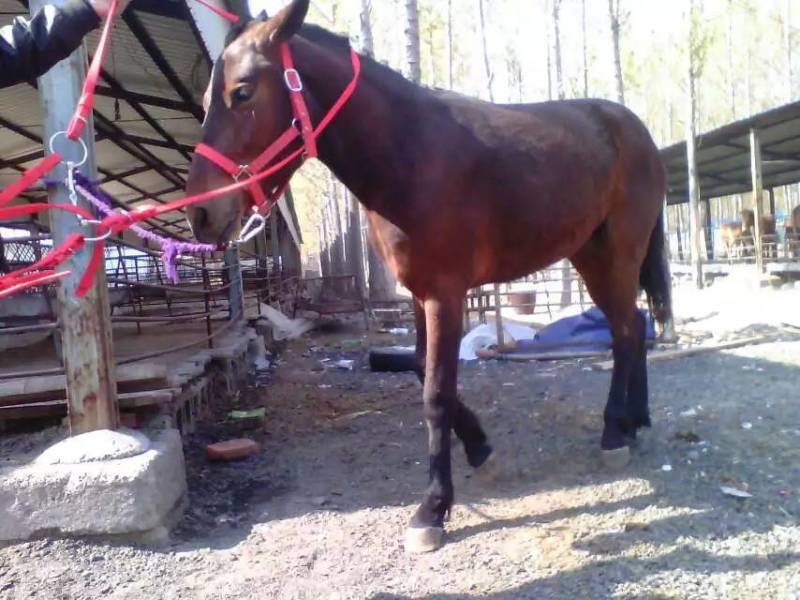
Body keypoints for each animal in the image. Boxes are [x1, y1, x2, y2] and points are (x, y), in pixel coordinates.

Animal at [185, 0, 674, 553]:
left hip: (618, 254)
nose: (201, 214)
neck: (411, 153)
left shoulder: (446, 294)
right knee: (629, 327)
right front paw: (480, 449)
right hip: (590, 255)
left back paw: (616, 431)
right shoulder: (420, 294)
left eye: (242, 91)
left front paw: (433, 509)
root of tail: (634, 129)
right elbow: (422, 368)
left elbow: (436, 394)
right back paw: (634, 421)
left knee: (627, 331)